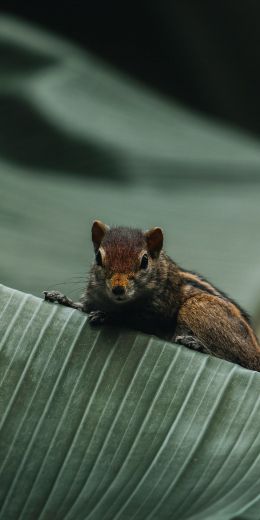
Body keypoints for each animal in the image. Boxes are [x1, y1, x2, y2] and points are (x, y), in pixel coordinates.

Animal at [43, 219, 260, 370]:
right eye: (98, 257)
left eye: (144, 261)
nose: (118, 288)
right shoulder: (94, 296)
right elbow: (83, 306)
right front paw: (61, 298)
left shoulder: (160, 309)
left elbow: (136, 320)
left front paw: (108, 316)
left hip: (199, 308)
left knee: (235, 359)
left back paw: (196, 344)